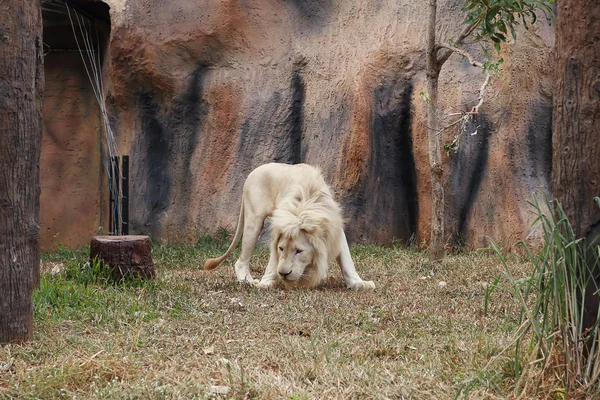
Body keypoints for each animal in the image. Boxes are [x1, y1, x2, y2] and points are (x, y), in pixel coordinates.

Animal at [204, 162, 378, 290]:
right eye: (281, 248)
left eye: (299, 251)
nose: (284, 273)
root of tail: (251, 173)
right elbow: (273, 261)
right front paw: (265, 283)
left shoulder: (334, 228)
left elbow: (347, 260)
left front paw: (359, 283)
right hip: (254, 220)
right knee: (241, 261)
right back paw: (248, 281)